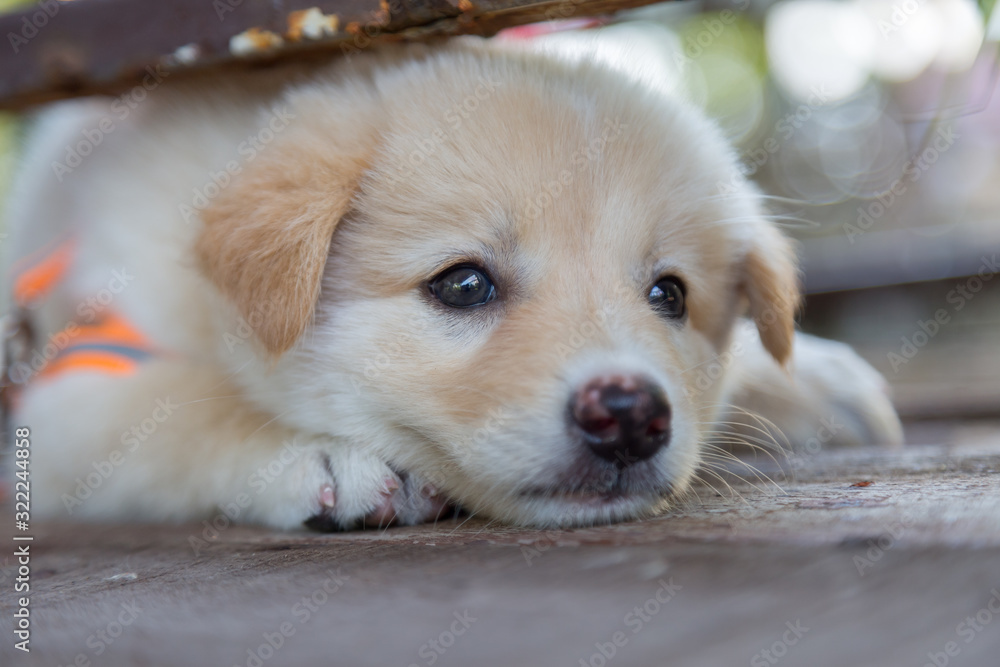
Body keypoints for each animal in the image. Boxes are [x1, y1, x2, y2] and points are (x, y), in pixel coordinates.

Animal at [1, 40, 908, 532]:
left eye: (670, 295)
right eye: (464, 284)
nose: (629, 415)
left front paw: (806, 378)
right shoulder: (78, 387)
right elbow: (181, 405)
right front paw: (312, 452)